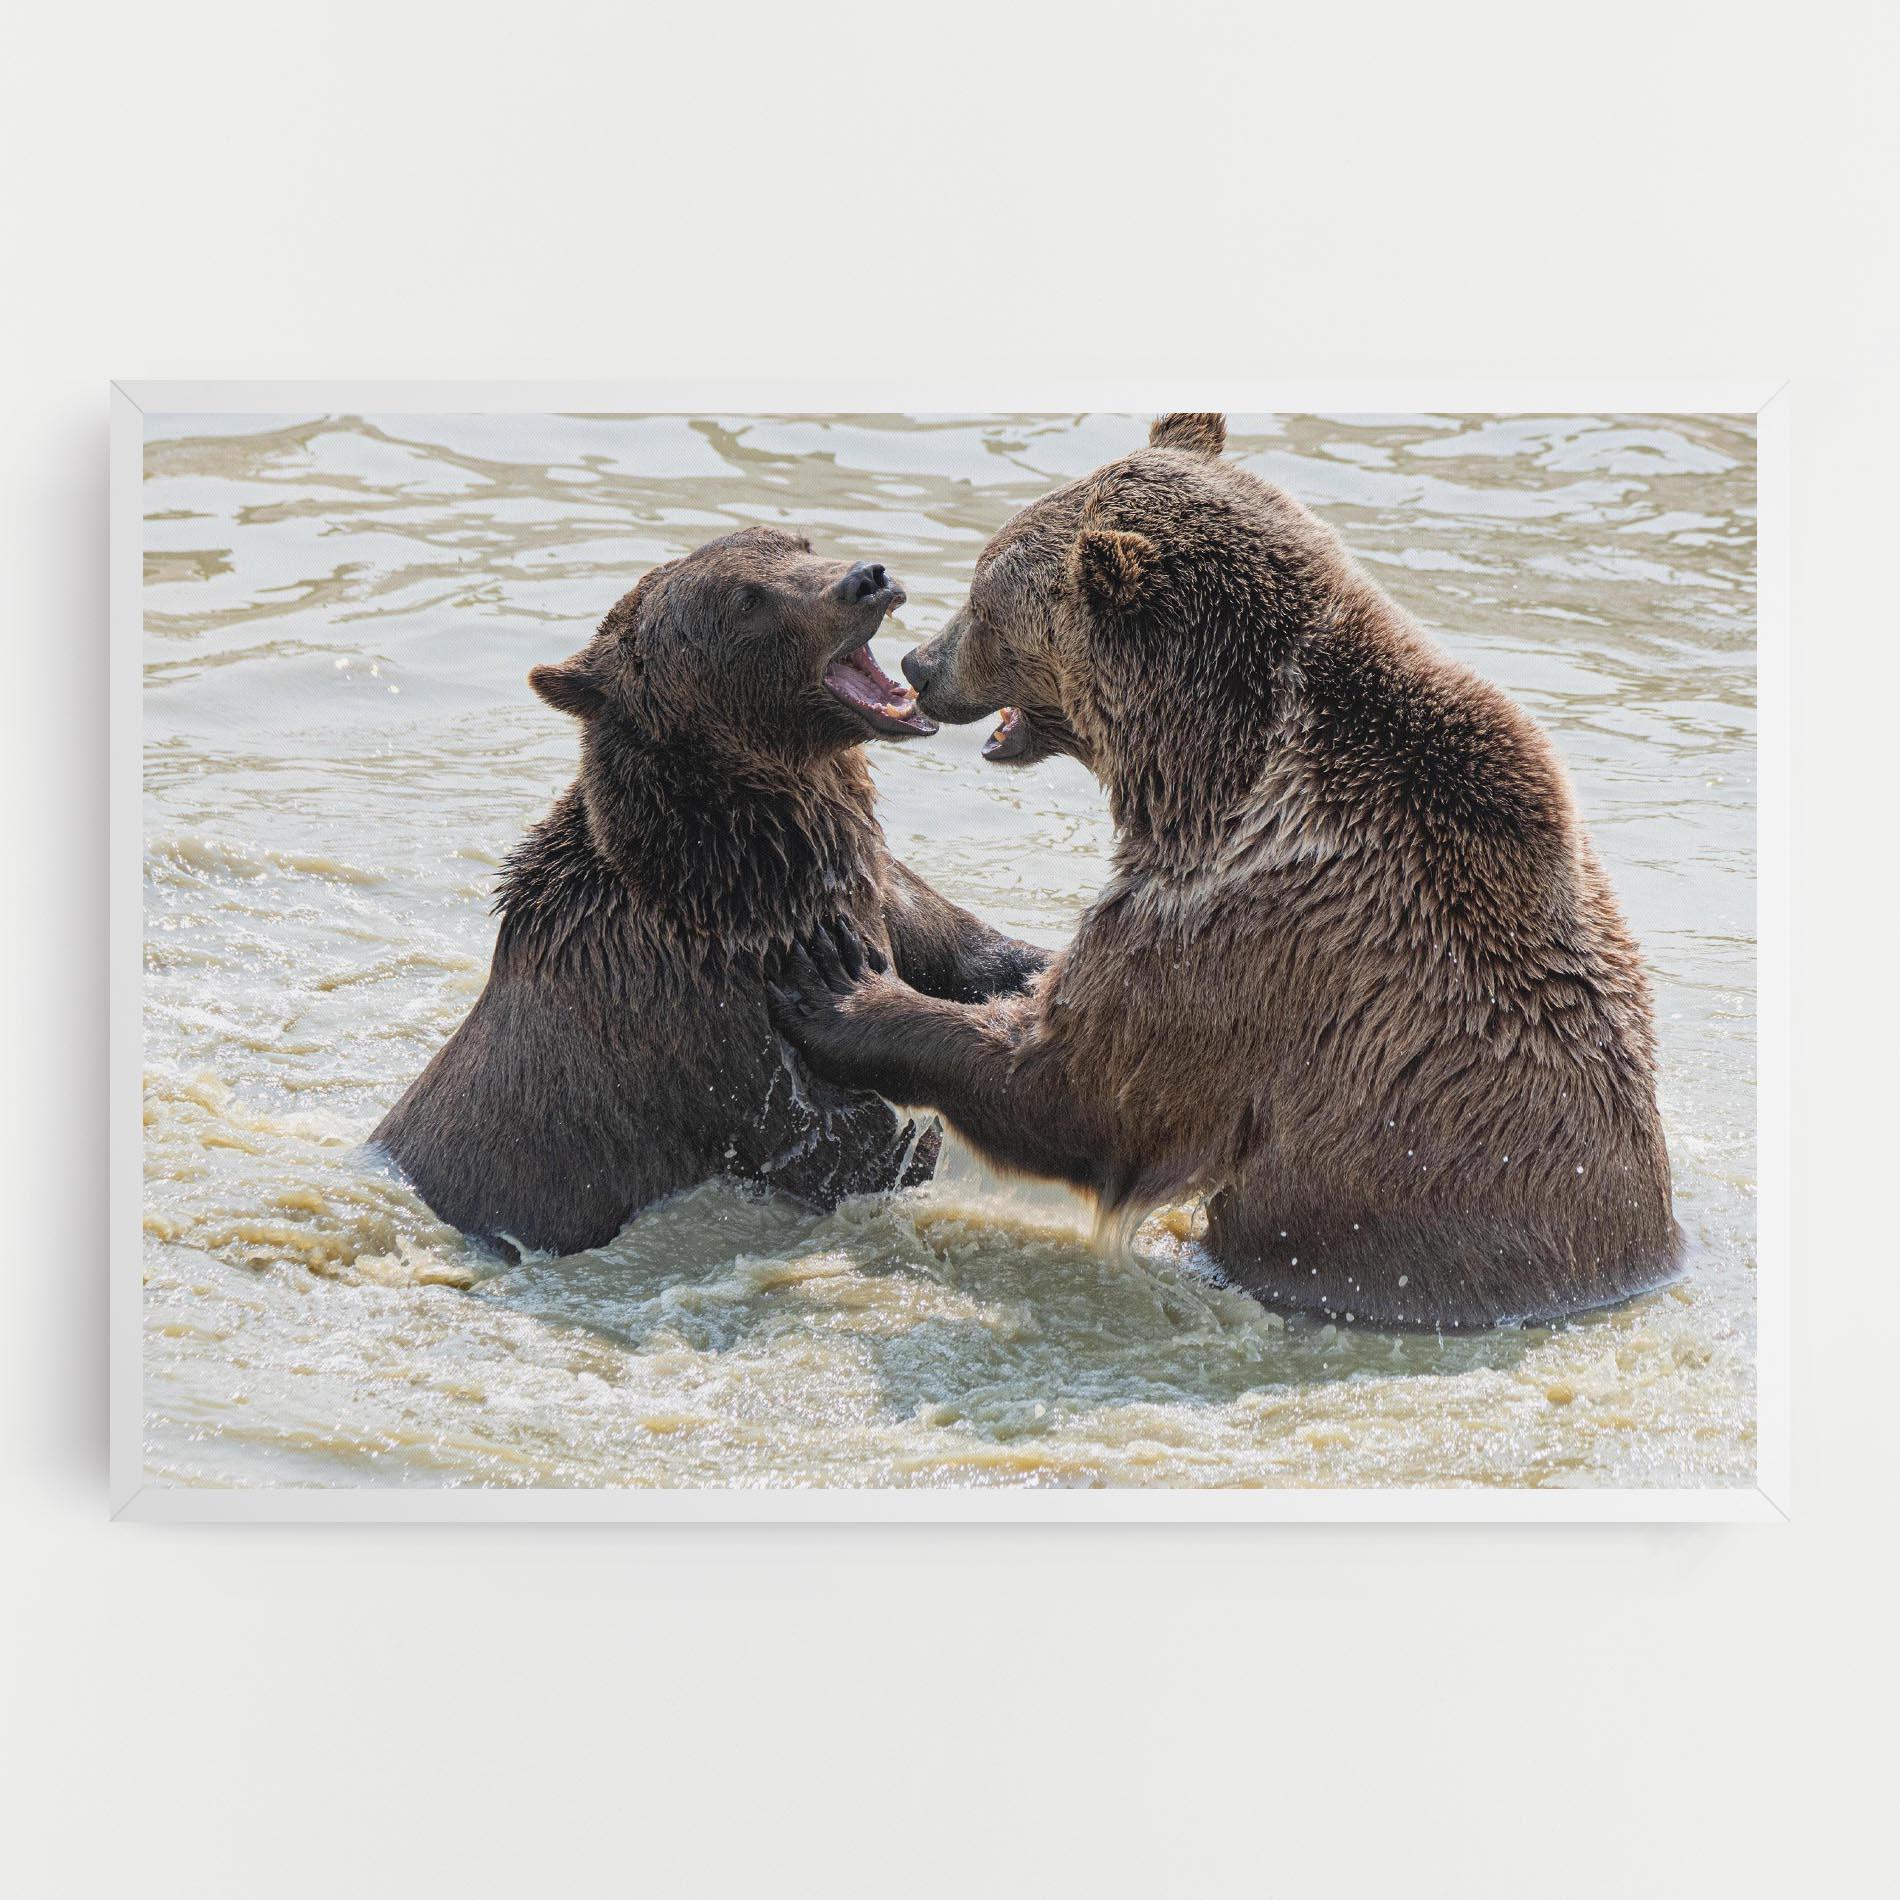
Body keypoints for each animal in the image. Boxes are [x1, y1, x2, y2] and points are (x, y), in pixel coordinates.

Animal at [371, 525, 1048, 1259]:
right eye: (747, 600)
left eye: (798, 543)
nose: (867, 579)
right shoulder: (723, 1030)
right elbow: (858, 1145)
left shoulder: (879, 890)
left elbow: (979, 954)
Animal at [767, 414, 1681, 1331]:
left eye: (986, 599)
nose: (921, 664)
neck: (1206, 773)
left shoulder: (1241, 931)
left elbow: (1079, 1086)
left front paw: (841, 989)